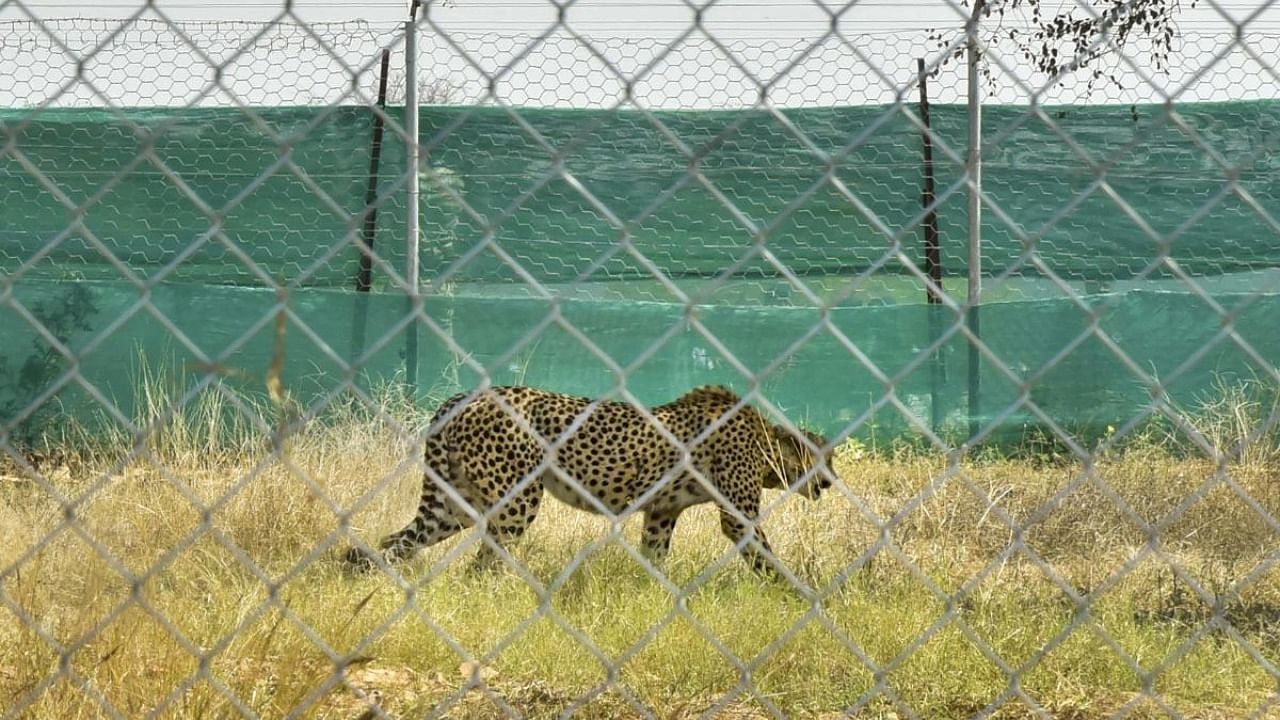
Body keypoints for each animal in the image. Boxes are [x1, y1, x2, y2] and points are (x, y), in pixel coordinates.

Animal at [345, 384, 834, 573]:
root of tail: (468, 395)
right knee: (483, 564)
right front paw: (797, 595)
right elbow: (766, 557)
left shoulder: (661, 510)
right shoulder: (738, 517)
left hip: (454, 506)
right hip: (516, 500)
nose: (830, 482)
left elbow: (654, 556)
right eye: (821, 459)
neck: (766, 442)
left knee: (396, 542)